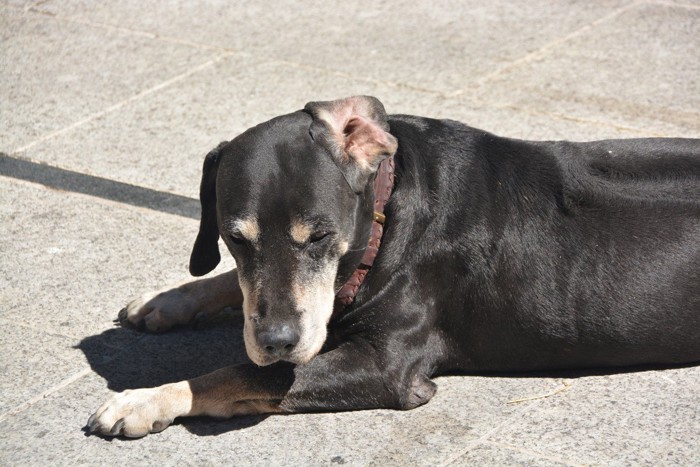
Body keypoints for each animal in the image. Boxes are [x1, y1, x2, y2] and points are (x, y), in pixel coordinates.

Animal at [87, 96, 700, 438]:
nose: (278, 339)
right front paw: (168, 299)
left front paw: (147, 399)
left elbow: (240, 374)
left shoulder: (384, 366)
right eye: (236, 239)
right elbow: (234, 293)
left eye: (321, 237)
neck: (388, 211)